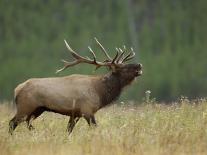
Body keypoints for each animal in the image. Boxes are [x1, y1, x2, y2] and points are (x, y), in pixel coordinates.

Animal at [9, 38, 142, 135]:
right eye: (123, 68)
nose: (139, 65)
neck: (100, 92)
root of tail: (17, 89)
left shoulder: (75, 114)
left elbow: (68, 130)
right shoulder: (87, 110)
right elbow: (95, 127)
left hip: (38, 109)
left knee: (26, 123)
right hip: (25, 106)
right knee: (12, 122)